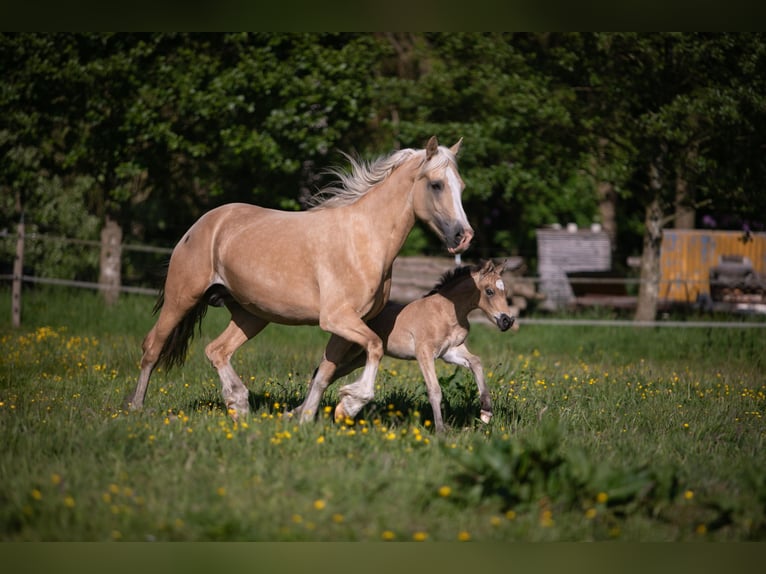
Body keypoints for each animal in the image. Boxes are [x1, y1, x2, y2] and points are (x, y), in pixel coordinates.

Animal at [125, 136, 473, 420]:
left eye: (461, 187)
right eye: (436, 185)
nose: (463, 236)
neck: (365, 239)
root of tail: (203, 223)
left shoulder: (347, 326)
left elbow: (323, 373)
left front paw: (304, 418)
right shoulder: (338, 319)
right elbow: (374, 347)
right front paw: (350, 403)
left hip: (252, 315)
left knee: (217, 350)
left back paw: (238, 404)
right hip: (182, 297)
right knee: (152, 347)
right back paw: (137, 407)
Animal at [291, 260, 514, 432]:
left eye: (505, 293)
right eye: (489, 291)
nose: (507, 321)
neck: (445, 311)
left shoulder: (451, 352)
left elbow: (476, 362)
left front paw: (486, 411)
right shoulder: (424, 352)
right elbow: (434, 390)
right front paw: (441, 430)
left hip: (358, 359)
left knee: (324, 374)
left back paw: (301, 411)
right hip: (350, 352)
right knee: (321, 372)